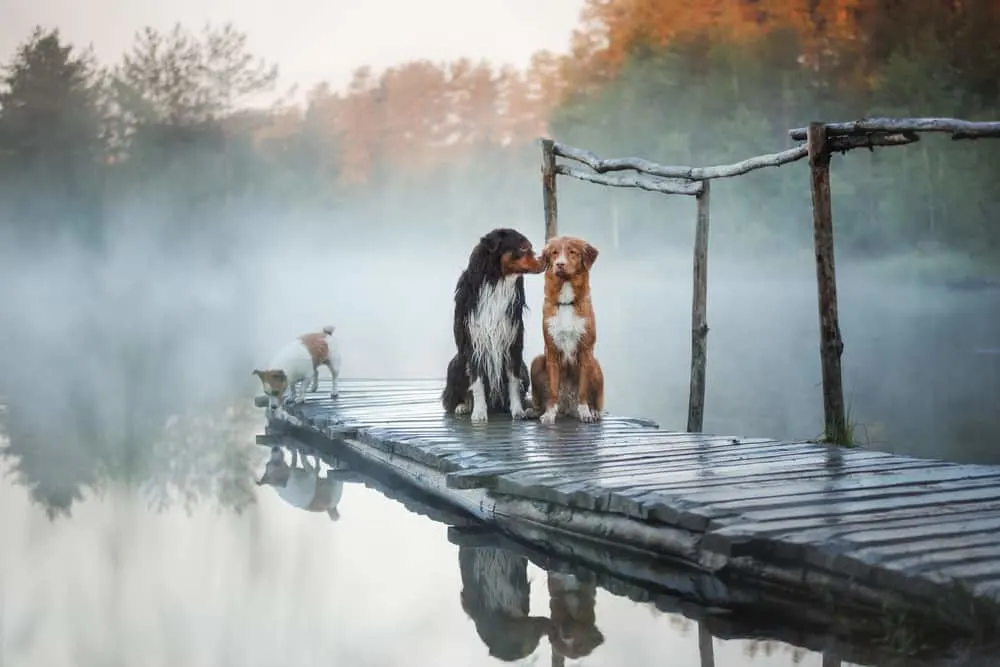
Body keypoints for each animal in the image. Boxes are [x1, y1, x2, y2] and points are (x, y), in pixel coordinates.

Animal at [442, 228, 544, 422]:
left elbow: (513, 381)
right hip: (455, 363)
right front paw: (479, 412)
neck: (496, 282)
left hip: (524, 367)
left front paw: (517, 411)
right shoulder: (474, 341)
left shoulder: (513, 341)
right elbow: (477, 381)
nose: (546, 260)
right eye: (523, 247)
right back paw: (464, 406)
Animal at [528, 237, 604, 426]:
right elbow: (553, 390)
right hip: (537, 361)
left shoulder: (585, 350)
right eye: (554, 253)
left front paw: (586, 412)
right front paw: (549, 414)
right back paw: (534, 411)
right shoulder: (552, 351)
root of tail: (568, 408)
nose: (559, 264)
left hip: (596, 365)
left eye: (572, 252)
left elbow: (583, 390)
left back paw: (594, 412)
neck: (566, 302)